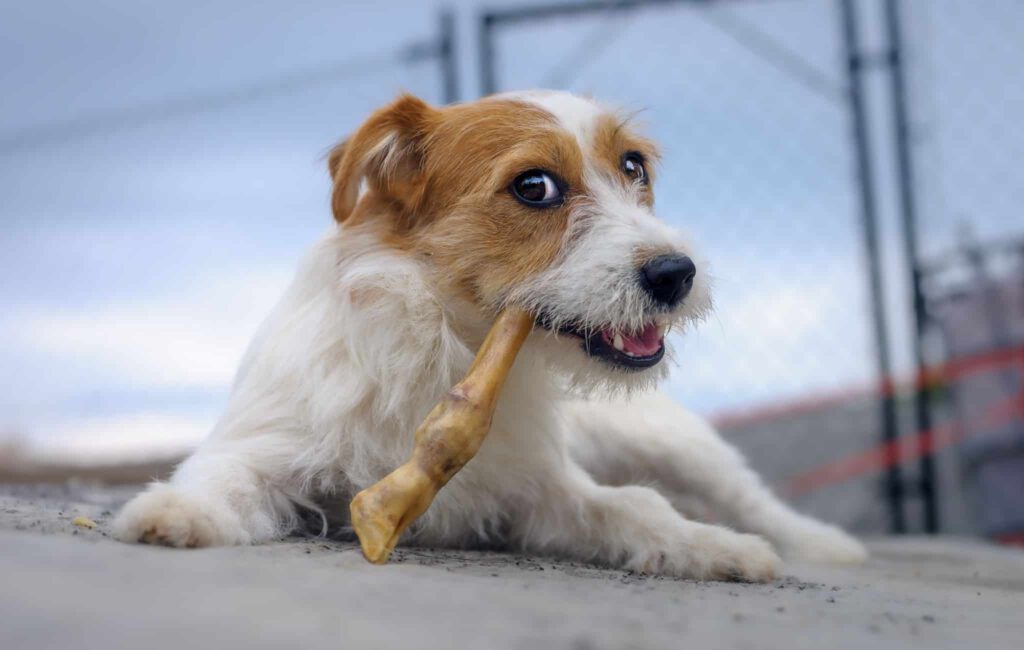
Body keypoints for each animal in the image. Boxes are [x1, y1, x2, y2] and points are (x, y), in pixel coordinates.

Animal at [112, 90, 864, 581]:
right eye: (534, 186)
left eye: (633, 167)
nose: (677, 272)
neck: (448, 344)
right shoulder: (264, 444)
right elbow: (223, 479)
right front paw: (174, 510)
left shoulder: (543, 488)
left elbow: (636, 507)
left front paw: (715, 548)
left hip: (670, 437)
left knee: (749, 496)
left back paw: (818, 543)